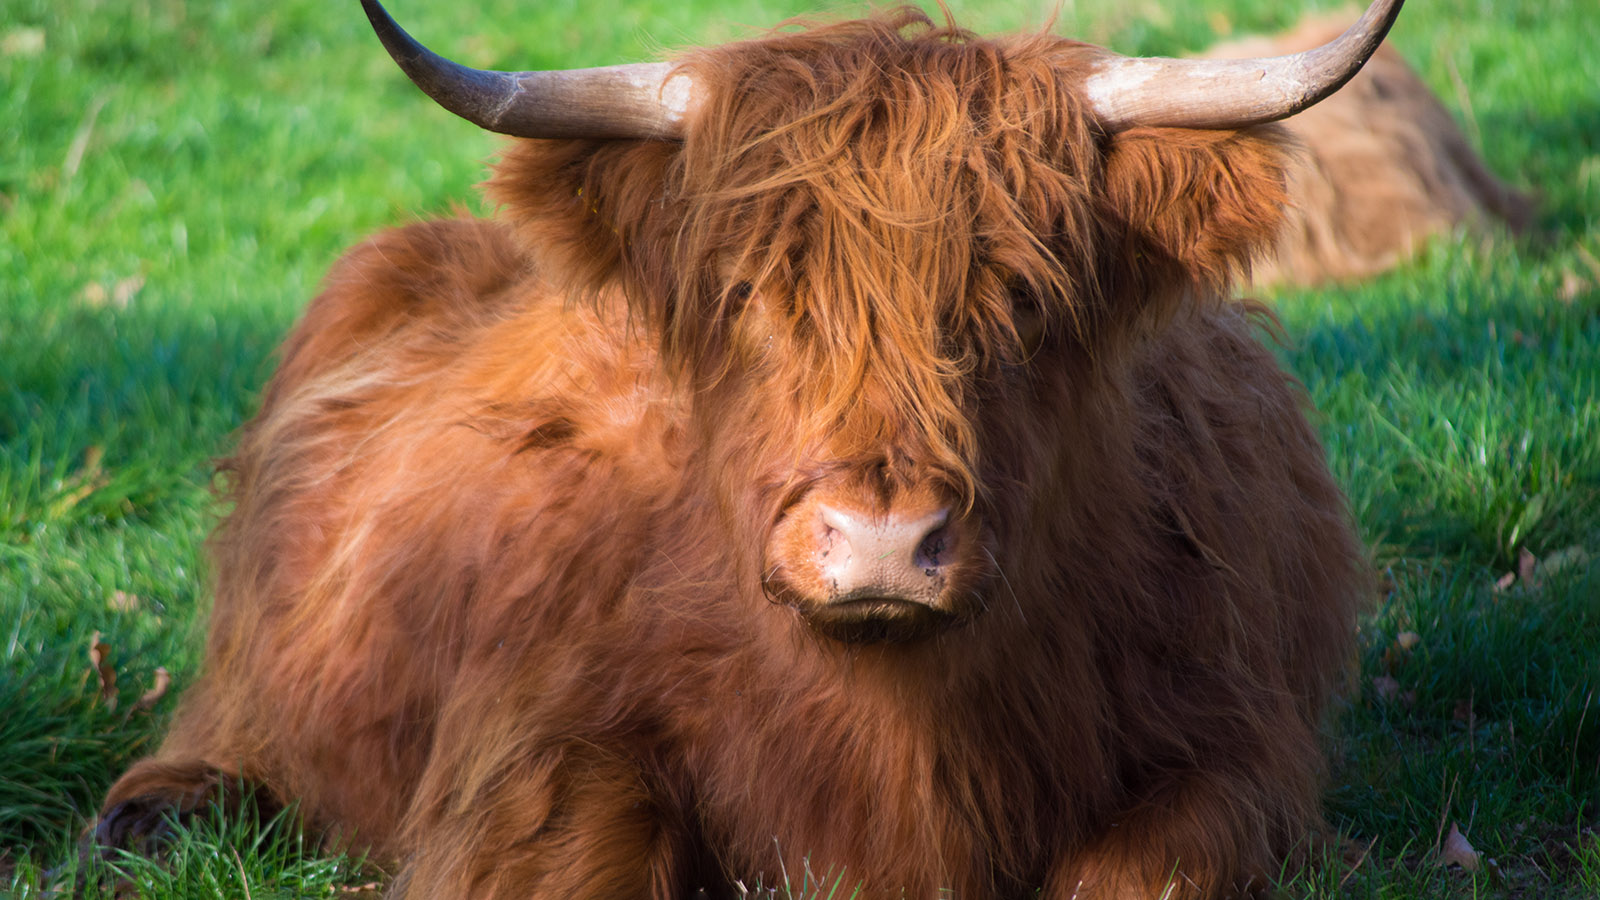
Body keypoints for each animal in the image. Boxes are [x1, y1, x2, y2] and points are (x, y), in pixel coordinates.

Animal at [95, 1, 1393, 897]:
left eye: (1023, 297)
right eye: (750, 297)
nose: (881, 543)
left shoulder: (1235, 747)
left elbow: (1144, 868)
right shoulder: (533, 744)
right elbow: (589, 848)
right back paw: (156, 817)